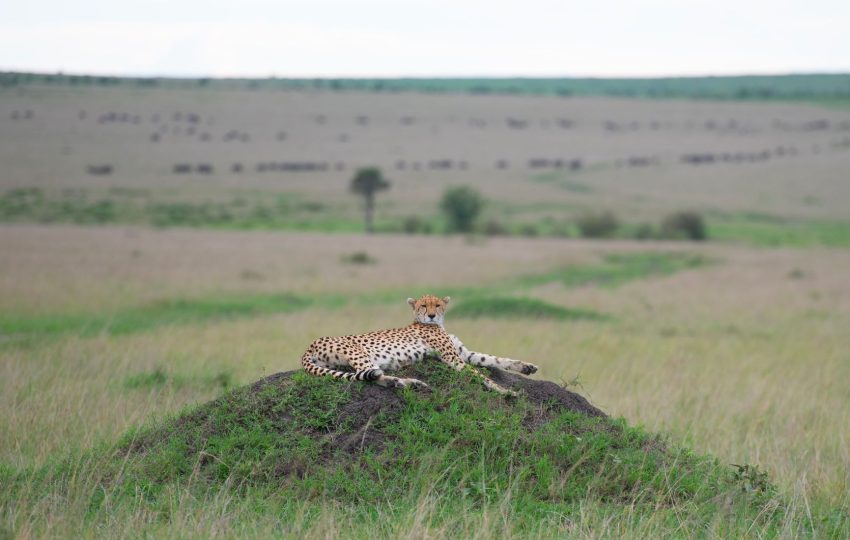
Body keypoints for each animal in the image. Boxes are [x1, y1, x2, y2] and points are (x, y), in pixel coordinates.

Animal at [300, 294, 539, 395]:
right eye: (423, 305)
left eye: (438, 305)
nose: (431, 315)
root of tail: (310, 344)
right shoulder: (453, 359)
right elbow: (482, 375)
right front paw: (504, 391)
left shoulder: (464, 354)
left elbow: (494, 359)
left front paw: (526, 367)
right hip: (359, 353)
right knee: (372, 375)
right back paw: (406, 382)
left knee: (370, 374)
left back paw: (404, 383)